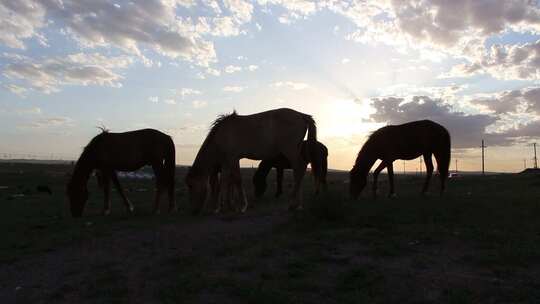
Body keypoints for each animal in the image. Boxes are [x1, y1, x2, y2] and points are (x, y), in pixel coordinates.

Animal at [186, 108, 316, 215]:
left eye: (191, 186)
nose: (193, 211)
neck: (222, 135)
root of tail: (302, 115)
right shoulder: (230, 161)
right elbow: (230, 181)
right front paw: (229, 207)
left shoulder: (231, 159)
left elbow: (231, 180)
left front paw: (238, 207)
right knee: (299, 171)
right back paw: (298, 205)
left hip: (290, 151)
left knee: (299, 168)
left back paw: (292, 204)